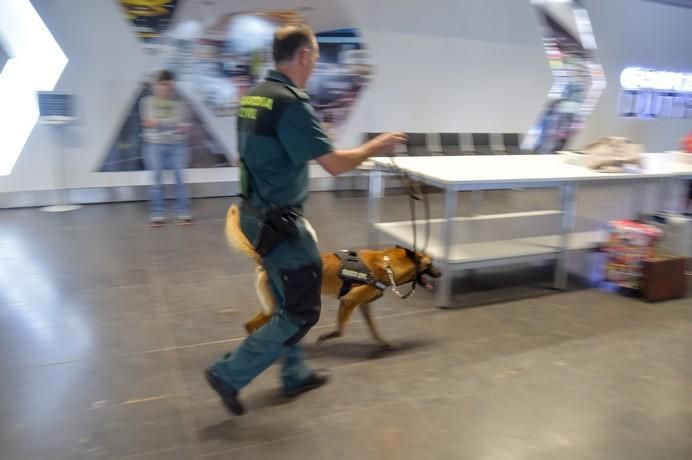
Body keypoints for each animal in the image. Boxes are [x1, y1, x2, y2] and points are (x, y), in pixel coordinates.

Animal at [227, 205, 444, 348]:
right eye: (431, 264)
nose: (441, 274)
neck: (388, 264)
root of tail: (267, 262)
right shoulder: (349, 301)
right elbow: (341, 330)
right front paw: (327, 337)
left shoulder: (362, 305)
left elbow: (374, 328)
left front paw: (384, 343)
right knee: (254, 325)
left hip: (272, 308)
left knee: (251, 325)